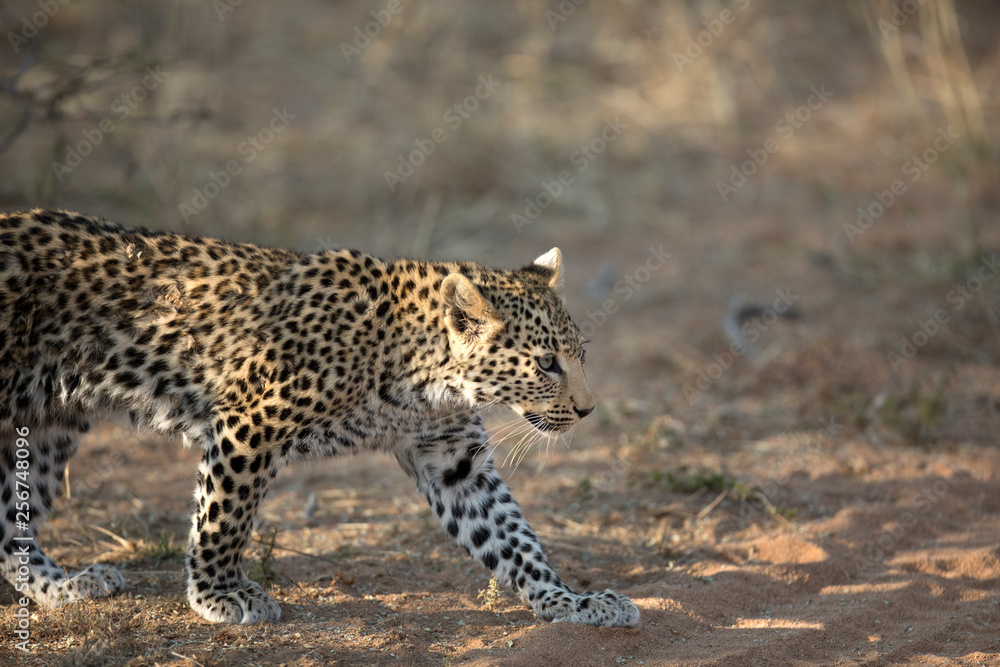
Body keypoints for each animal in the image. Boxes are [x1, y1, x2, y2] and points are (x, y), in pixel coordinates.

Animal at [0, 209, 640, 627]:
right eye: (546, 362)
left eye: (579, 356)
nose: (587, 409)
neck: (425, 375)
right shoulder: (249, 421)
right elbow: (224, 518)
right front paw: (218, 595)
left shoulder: (453, 458)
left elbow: (511, 537)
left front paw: (571, 602)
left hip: (47, 424)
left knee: (10, 523)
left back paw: (66, 587)